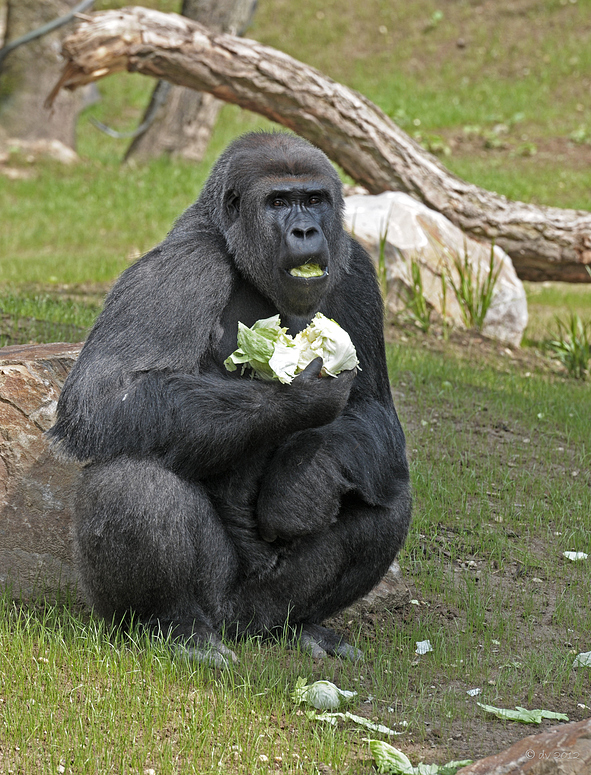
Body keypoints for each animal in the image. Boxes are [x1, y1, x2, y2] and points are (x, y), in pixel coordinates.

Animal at [49, 130, 412, 664]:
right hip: (212, 599)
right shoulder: (184, 266)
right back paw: (176, 627)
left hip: (262, 607)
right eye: (278, 202)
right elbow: (104, 394)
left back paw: (300, 625)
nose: (306, 230)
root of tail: (237, 622)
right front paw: (295, 399)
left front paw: (306, 479)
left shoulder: (358, 269)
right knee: (128, 477)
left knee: (386, 496)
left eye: (314, 200)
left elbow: (372, 411)